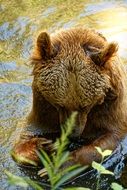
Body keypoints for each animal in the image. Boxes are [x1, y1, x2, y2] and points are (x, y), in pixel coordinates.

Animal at [12, 27, 127, 166]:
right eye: (60, 105)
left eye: (85, 106)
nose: (73, 134)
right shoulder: (43, 109)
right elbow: (25, 136)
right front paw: (43, 146)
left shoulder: (110, 108)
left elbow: (107, 140)